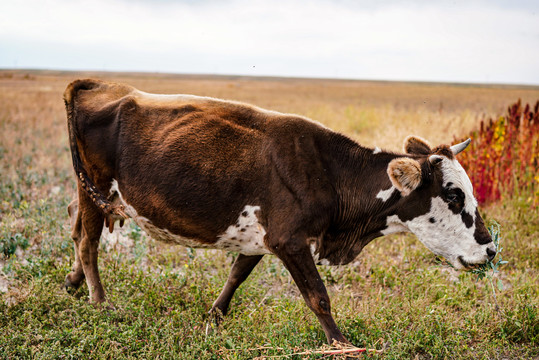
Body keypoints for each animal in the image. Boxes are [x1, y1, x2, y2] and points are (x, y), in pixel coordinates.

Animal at [64, 79, 498, 346]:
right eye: (454, 195)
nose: (491, 249)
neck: (328, 171)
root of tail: (98, 85)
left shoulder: (259, 236)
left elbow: (237, 275)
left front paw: (214, 317)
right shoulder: (289, 240)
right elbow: (318, 296)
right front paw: (341, 344)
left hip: (91, 193)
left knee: (76, 232)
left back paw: (72, 283)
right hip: (94, 190)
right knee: (88, 243)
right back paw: (99, 301)